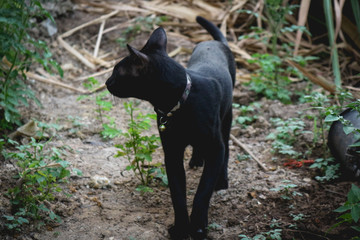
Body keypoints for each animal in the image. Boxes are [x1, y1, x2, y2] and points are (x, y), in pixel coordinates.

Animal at [106, 15, 236, 239]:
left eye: (117, 72)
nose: (106, 82)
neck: (177, 105)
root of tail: (216, 42)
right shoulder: (172, 151)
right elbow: (177, 193)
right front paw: (181, 228)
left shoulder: (215, 147)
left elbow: (203, 190)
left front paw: (198, 226)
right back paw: (196, 160)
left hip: (227, 117)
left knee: (227, 148)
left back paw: (222, 181)